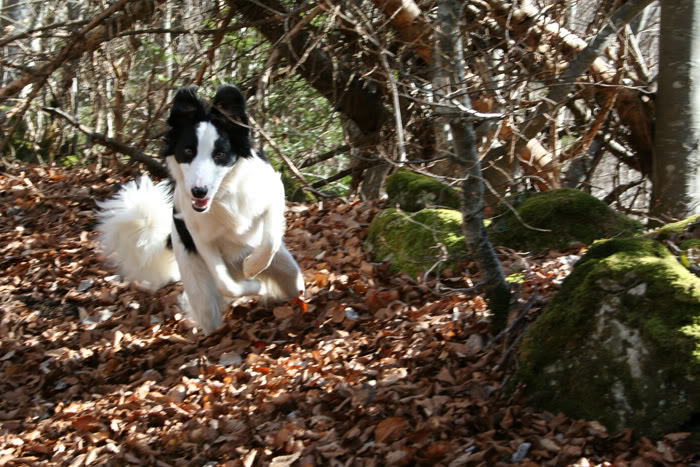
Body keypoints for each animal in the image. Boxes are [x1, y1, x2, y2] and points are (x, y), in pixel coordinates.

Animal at [98, 86, 304, 334]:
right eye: (188, 151)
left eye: (219, 154)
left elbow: (270, 239)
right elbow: (227, 285)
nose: (198, 191)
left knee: (294, 283)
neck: (223, 194)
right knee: (208, 310)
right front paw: (255, 285)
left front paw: (252, 267)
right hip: (197, 283)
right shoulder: (202, 241)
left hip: (289, 273)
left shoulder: (273, 191)